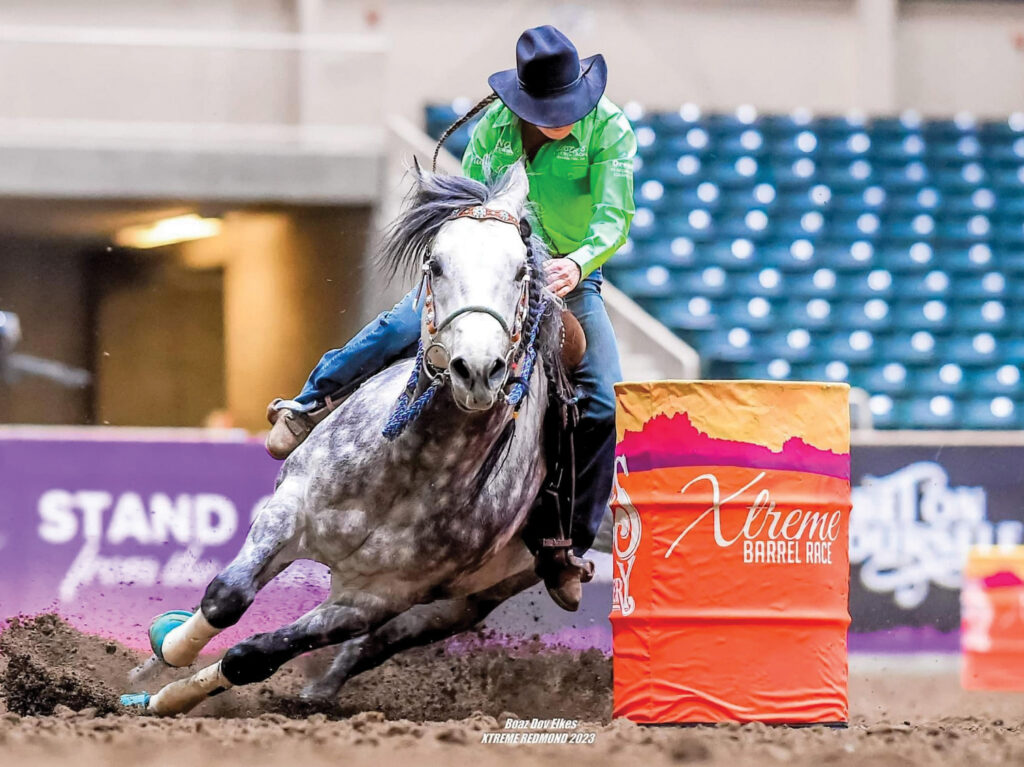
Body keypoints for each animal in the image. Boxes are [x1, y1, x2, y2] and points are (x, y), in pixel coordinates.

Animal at [124, 161, 568, 715]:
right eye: (436, 264)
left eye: (520, 272)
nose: (479, 370)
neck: (409, 468)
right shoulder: (288, 508)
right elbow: (227, 597)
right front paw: (166, 652)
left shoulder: (372, 598)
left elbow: (252, 656)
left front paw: (170, 700)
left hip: (468, 599)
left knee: (380, 644)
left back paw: (317, 693)